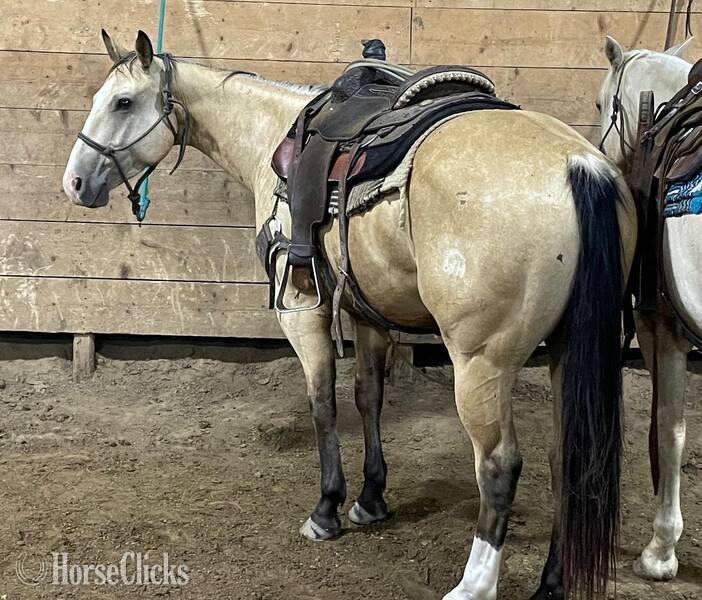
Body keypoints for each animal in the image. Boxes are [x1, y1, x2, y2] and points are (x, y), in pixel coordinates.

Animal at [63, 30, 637, 599]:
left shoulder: (302, 310)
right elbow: (368, 398)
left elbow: (323, 403)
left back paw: (473, 584)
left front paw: (327, 508)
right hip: (566, 350)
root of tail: (577, 165)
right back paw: (553, 581)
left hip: (481, 363)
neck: (271, 140)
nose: (74, 183)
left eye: (122, 102)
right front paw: (370, 498)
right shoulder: (367, 315)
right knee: (567, 459)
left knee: (499, 466)